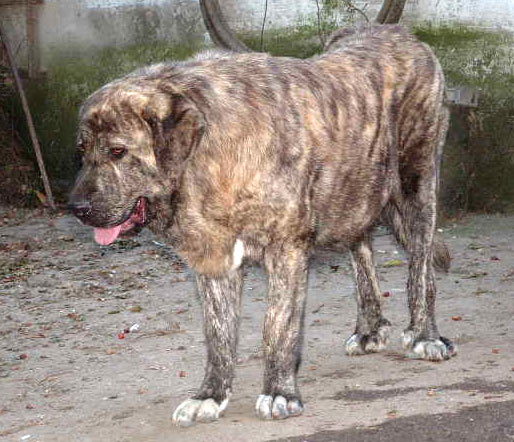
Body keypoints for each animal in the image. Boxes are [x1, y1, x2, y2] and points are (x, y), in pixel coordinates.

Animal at [68, 25, 452, 426]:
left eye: (118, 151)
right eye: (82, 151)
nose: (76, 208)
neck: (206, 156)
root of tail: (397, 31)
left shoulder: (287, 250)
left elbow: (277, 327)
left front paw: (280, 391)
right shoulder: (214, 260)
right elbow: (218, 334)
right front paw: (210, 395)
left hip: (416, 187)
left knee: (420, 266)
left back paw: (425, 334)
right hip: (354, 194)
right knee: (362, 252)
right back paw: (370, 329)